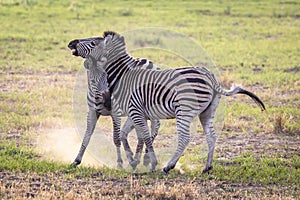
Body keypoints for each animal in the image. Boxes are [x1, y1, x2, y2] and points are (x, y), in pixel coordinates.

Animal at [68, 36, 161, 169]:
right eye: (92, 81)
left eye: (108, 78)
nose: (107, 100)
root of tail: (149, 62)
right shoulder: (92, 111)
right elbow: (87, 135)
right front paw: (76, 160)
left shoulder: (115, 113)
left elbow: (116, 139)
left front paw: (120, 163)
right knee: (142, 131)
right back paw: (139, 159)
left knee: (155, 125)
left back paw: (145, 157)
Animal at [81, 31, 264, 173]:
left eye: (93, 42)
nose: (73, 43)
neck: (123, 75)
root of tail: (210, 77)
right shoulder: (137, 113)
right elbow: (130, 135)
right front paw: (135, 161)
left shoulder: (135, 111)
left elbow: (143, 136)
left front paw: (148, 163)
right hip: (207, 111)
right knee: (211, 136)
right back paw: (207, 167)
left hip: (184, 110)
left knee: (184, 138)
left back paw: (168, 166)